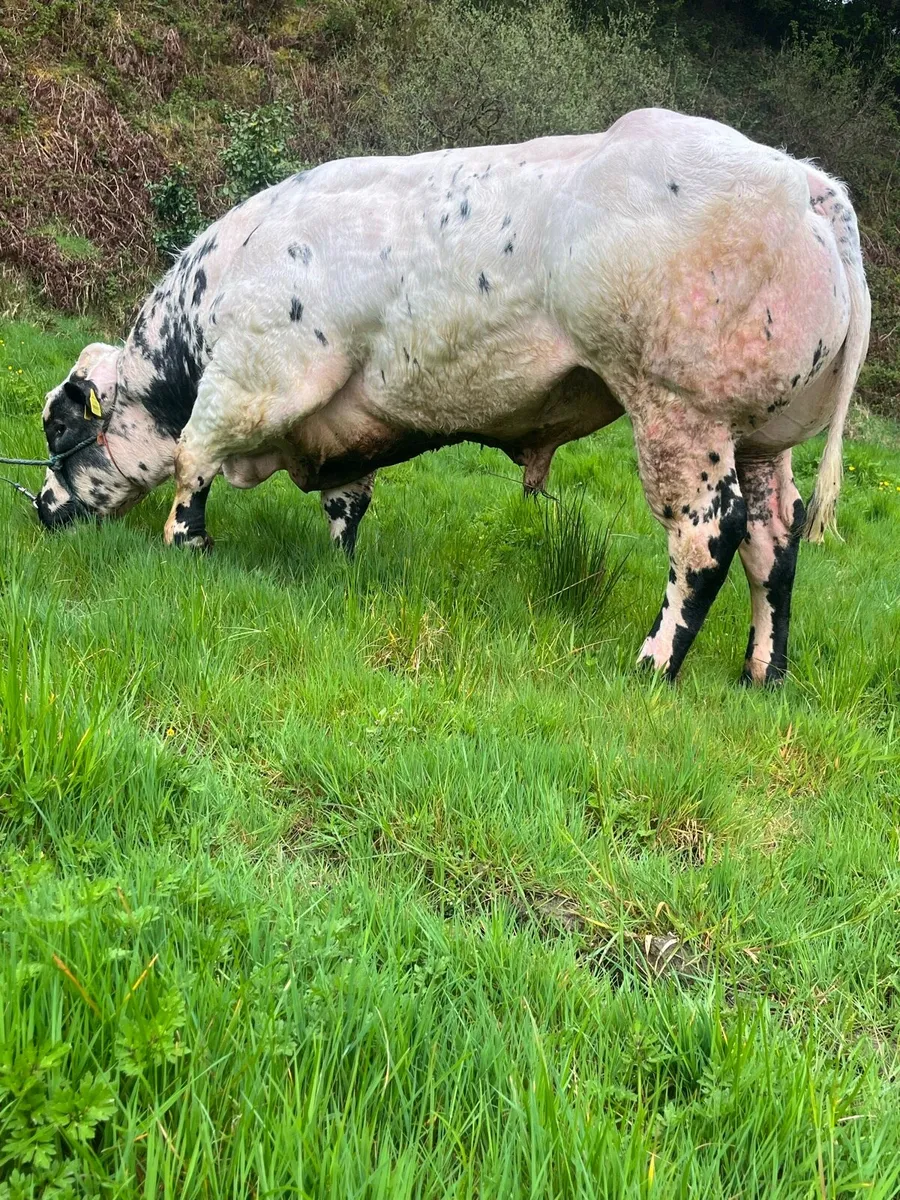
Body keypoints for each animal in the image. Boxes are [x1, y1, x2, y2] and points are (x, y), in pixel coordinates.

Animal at [35, 108, 870, 685]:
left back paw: (653, 663)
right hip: (760, 434)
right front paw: (340, 568)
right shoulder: (347, 427)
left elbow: (192, 459)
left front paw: (188, 544)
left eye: (57, 429)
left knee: (707, 533)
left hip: (681, 409)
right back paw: (762, 673)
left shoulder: (253, 377)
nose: (38, 507)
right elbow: (347, 501)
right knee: (774, 538)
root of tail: (808, 182)